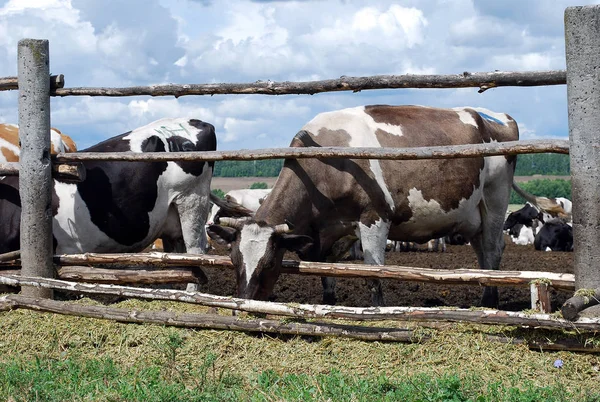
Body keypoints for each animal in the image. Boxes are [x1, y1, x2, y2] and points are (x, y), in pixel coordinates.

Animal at [209, 104, 516, 308]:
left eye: (270, 262)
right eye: (233, 259)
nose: (245, 304)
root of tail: (497, 116)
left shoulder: (374, 218)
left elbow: (373, 274)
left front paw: (378, 309)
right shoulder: (329, 234)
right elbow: (327, 278)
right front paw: (329, 304)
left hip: (495, 200)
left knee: (492, 249)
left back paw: (490, 302)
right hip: (471, 216)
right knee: (482, 253)